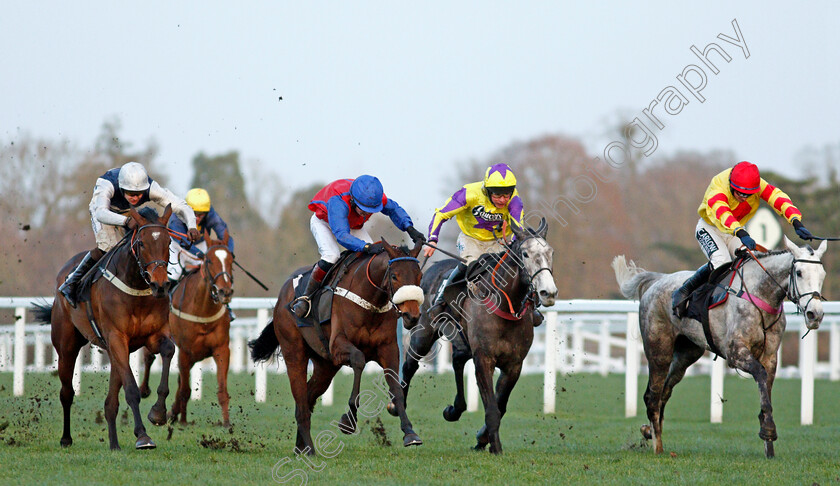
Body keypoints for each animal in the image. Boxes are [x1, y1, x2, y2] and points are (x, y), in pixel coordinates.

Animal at [32, 204, 176, 448]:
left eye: (168, 242)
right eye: (142, 243)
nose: (160, 285)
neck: (135, 288)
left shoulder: (152, 335)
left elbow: (168, 350)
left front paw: (157, 412)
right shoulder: (116, 337)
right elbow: (131, 389)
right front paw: (142, 435)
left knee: (110, 403)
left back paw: (114, 444)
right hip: (67, 345)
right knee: (66, 392)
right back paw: (66, 438)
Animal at [139, 228, 235, 426]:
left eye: (231, 260)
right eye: (209, 260)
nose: (225, 292)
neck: (203, 313)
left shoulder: (221, 349)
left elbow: (221, 390)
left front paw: (227, 423)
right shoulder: (184, 352)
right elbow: (185, 390)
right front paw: (180, 421)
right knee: (148, 357)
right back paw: (145, 390)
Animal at [246, 239, 424, 456]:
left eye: (419, 275)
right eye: (394, 276)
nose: (411, 315)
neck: (370, 301)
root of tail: (282, 297)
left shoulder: (388, 349)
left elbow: (396, 388)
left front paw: (410, 433)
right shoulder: (339, 345)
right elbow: (359, 360)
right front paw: (348, 420)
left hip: (325, 366)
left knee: (307, 398)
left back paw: (300, 447)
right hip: (294, 353)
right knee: (301, 402)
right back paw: (310, 449)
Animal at [398, 218, 556, 454]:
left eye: (550, 252)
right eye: (525, 254)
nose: (549, 293)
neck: (504, 305)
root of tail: (430, 268)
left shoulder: (514, 364)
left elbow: (500, 405)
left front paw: (484, 438)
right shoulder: (484, 359)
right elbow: (491, 408)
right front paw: (496, 447)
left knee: (457, 360)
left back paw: (454, 409)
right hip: (423, 333)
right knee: (410, 365)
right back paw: (396, 407)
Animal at [612, 236, 832, 460]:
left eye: (822, 274)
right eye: (799, 272)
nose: (815, 314)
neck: (760, 294)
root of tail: (657, 281)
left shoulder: (770, 356)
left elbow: (766, 390)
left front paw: (768, 444)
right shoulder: (736, 353)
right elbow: (760, 376)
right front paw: (768, 430)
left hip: (686, 355)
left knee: (664, 392)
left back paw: (650, 431)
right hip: (659, 351)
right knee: (653, 396)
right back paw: (657, 445)